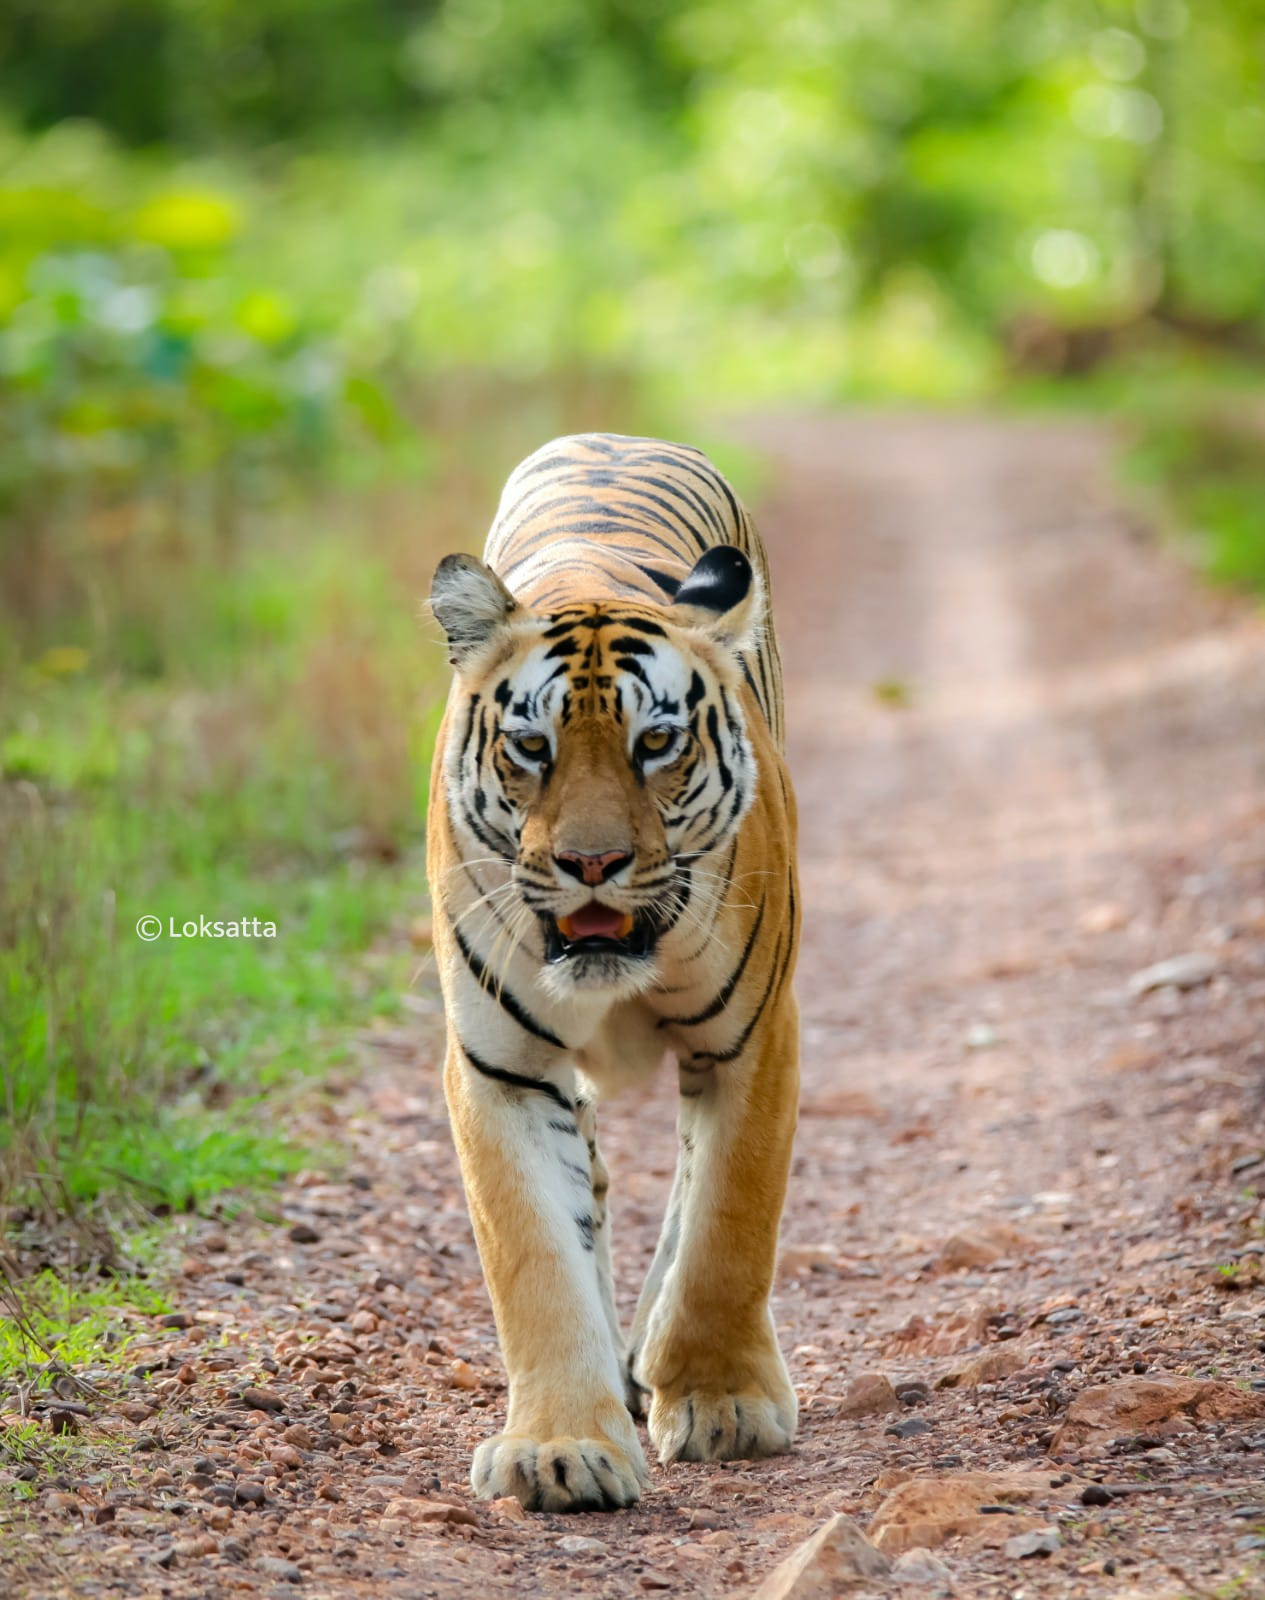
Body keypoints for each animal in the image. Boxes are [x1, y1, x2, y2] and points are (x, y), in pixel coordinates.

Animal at [425, 435, 802, 1510]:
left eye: (655, 742)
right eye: (531, 747)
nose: (589, 864)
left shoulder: (753, 1039)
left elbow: (728, 1221)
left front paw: (721, 1401)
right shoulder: (499, 1069)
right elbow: (534, 1258)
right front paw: (557, 1449)